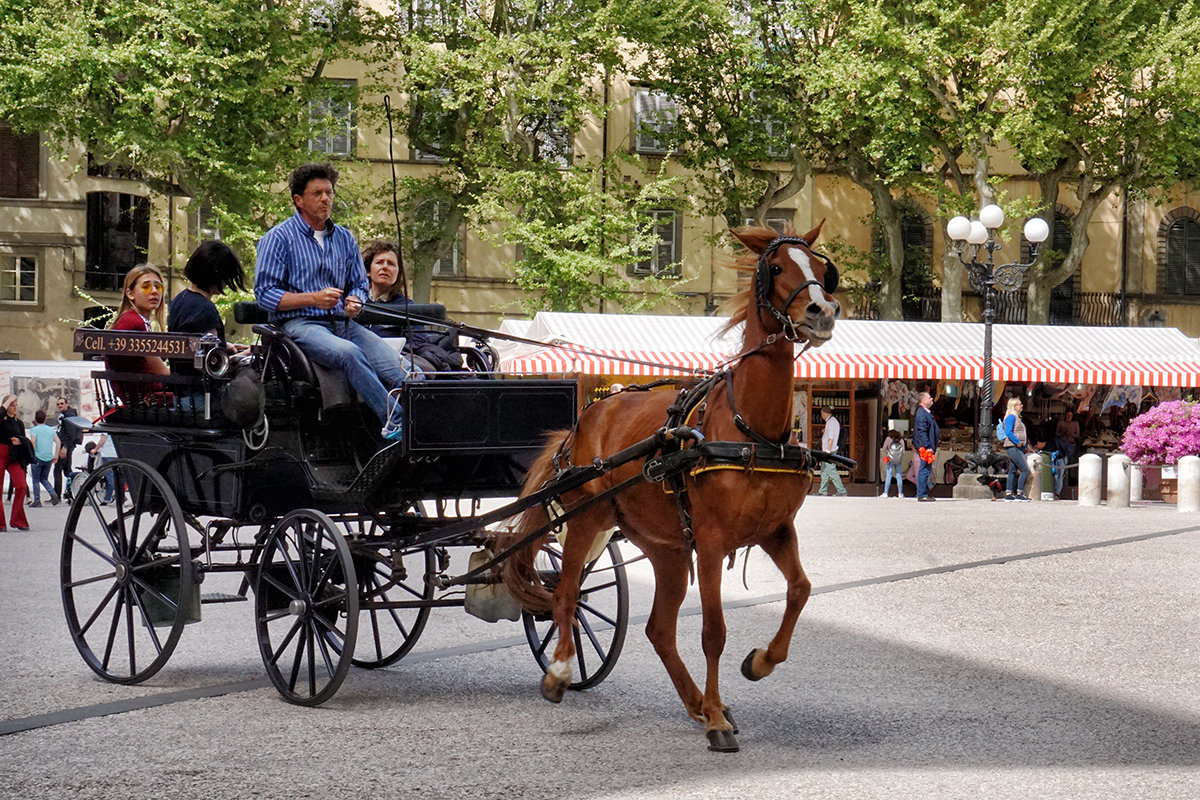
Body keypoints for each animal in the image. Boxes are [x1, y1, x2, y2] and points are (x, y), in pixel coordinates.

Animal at [501, 221, 840, 753]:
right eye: (776, 267)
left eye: (824, 271)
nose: (822, 311)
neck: (750, 429)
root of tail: (586, 418)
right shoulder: (713, 542)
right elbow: (713, 631)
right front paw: (719, 720)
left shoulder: (777, 531)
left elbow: (801, 591)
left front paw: (759, 664)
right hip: (588, 520)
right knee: (567, 594)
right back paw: (560, 670)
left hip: (667, 549)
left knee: (659, 629)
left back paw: (697, 702)